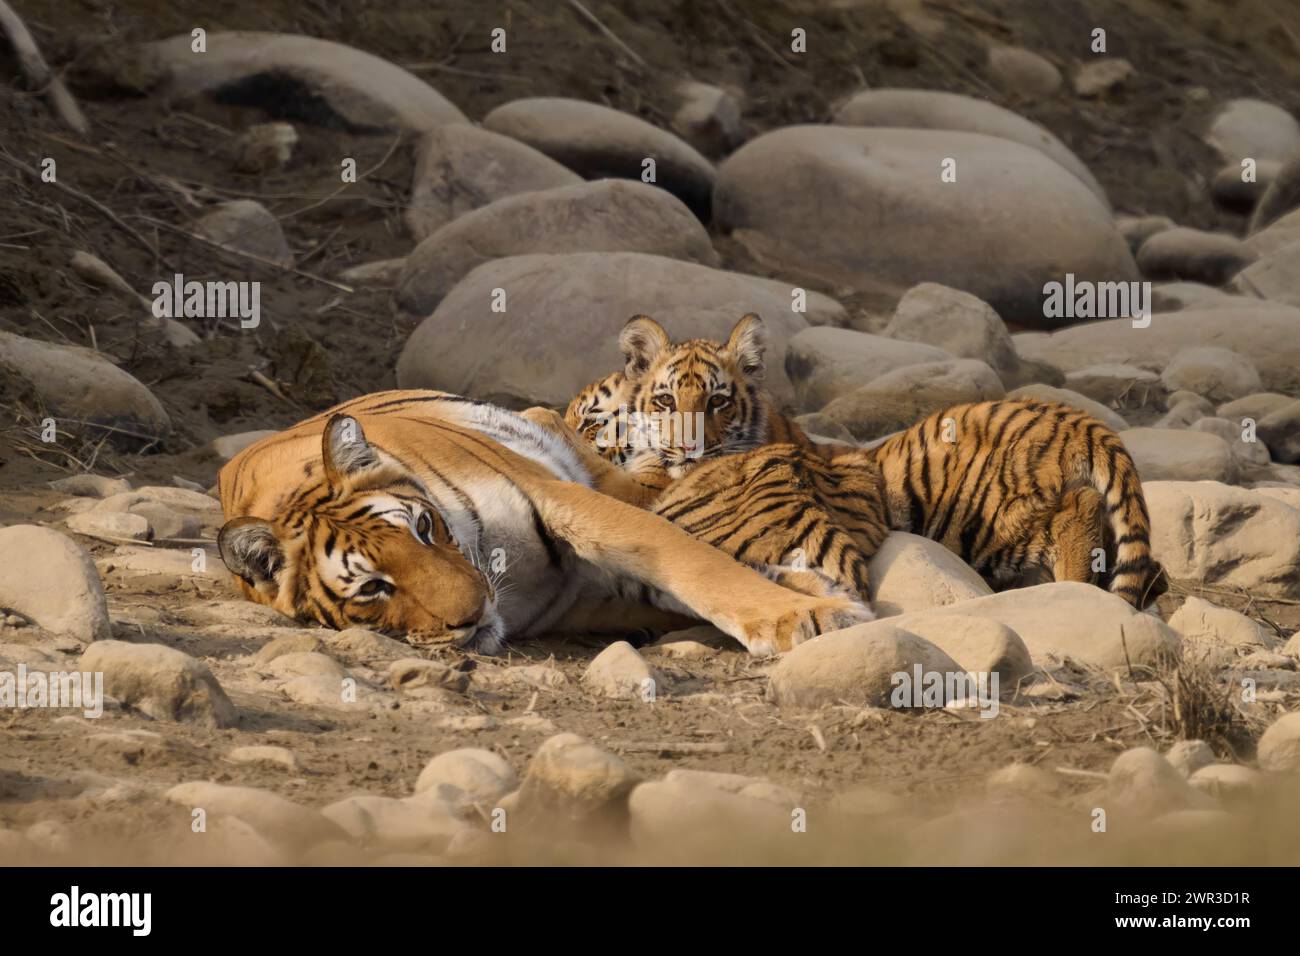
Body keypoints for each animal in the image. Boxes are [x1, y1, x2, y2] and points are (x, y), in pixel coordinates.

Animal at [213, 385, 868, 655]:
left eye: (423, 527)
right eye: (374, 588)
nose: (473, 614)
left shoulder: (561, 497)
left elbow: (688, 557)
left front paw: (809, 615)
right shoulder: (587, 593)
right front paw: (812, 600)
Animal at [569, 317, 1170, 608]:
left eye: (716, 400)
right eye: (666, 400)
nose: (690, 449)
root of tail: (1073, 415)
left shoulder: (645, 488)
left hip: (986, 517)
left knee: (1078, 508)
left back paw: (1072, 583)